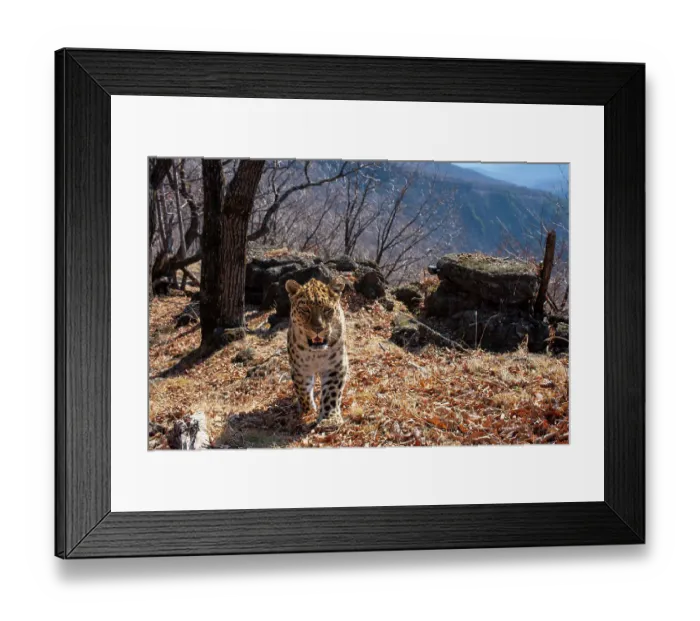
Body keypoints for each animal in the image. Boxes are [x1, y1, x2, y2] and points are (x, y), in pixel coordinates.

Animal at [285, 277, 349, 425]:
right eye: (305, 309)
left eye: (327, 309)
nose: (318, 329)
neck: (316, 354)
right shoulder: (300, 369)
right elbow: (302, 391)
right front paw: (308, 410)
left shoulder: (335, 366)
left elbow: (331, 392)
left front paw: (329, 418)